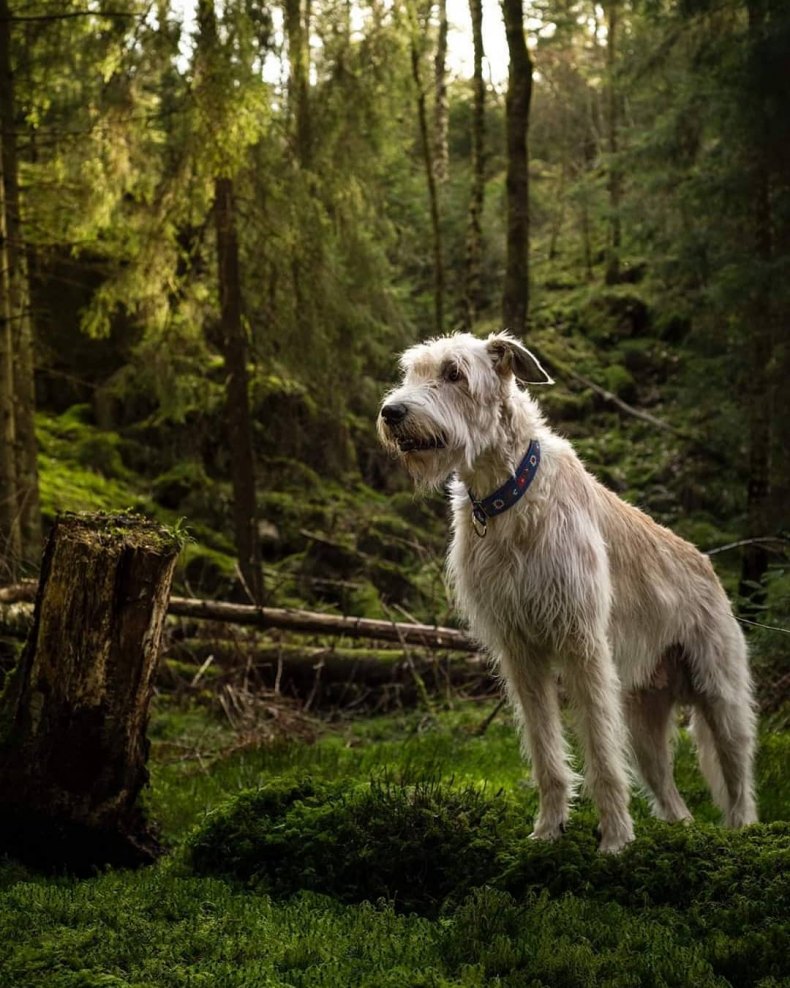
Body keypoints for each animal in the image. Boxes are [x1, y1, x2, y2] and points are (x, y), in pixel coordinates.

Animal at [380, 330, 764, 848]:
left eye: (454, 373)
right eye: (412, 373)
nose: (391, 412)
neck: (507, 498)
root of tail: (707, 565)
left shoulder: (582, 643)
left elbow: (601, 753)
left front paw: (616, 839)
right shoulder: (520, 651)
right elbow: (546, 751)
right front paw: (548, 830)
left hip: (720, 694)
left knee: (738, 775)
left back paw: (742, 831)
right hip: (642, 717)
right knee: (668, 790)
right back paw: (680, 829)